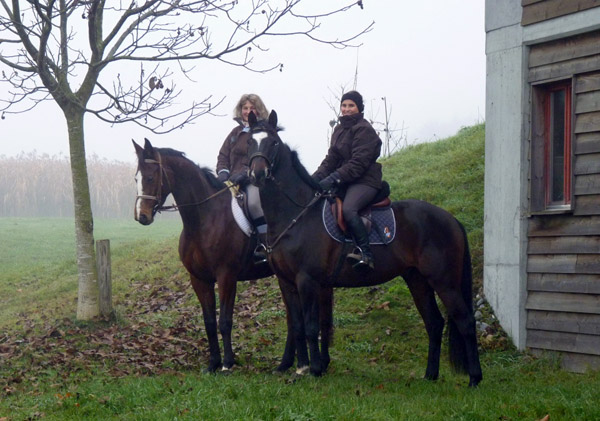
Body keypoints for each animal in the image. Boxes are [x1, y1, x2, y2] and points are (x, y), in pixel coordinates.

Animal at [132, 139, 332, 372]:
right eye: (136, 178)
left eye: (150, 177)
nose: (141, 216)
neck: (203, 219)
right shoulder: (199, 280)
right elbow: (209, 322)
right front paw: (213, 363)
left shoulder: (226, 276)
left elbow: (225, 321)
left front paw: (227, 363)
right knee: (293, 318)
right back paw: (287, 363)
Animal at [248, 110, 482, 386]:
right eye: (250, 141)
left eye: (272, 142)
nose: (258, 174)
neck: (296, 215)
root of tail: (451, 219)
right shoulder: (287, 282)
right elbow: (296, 325)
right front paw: (295, 367)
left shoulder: (308, 280)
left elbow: (311, 326)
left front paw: (314, 369)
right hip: (417, 280)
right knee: (434, 323)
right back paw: (430, 375)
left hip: (444, 281)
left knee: (465, 321)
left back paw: (474, 379)